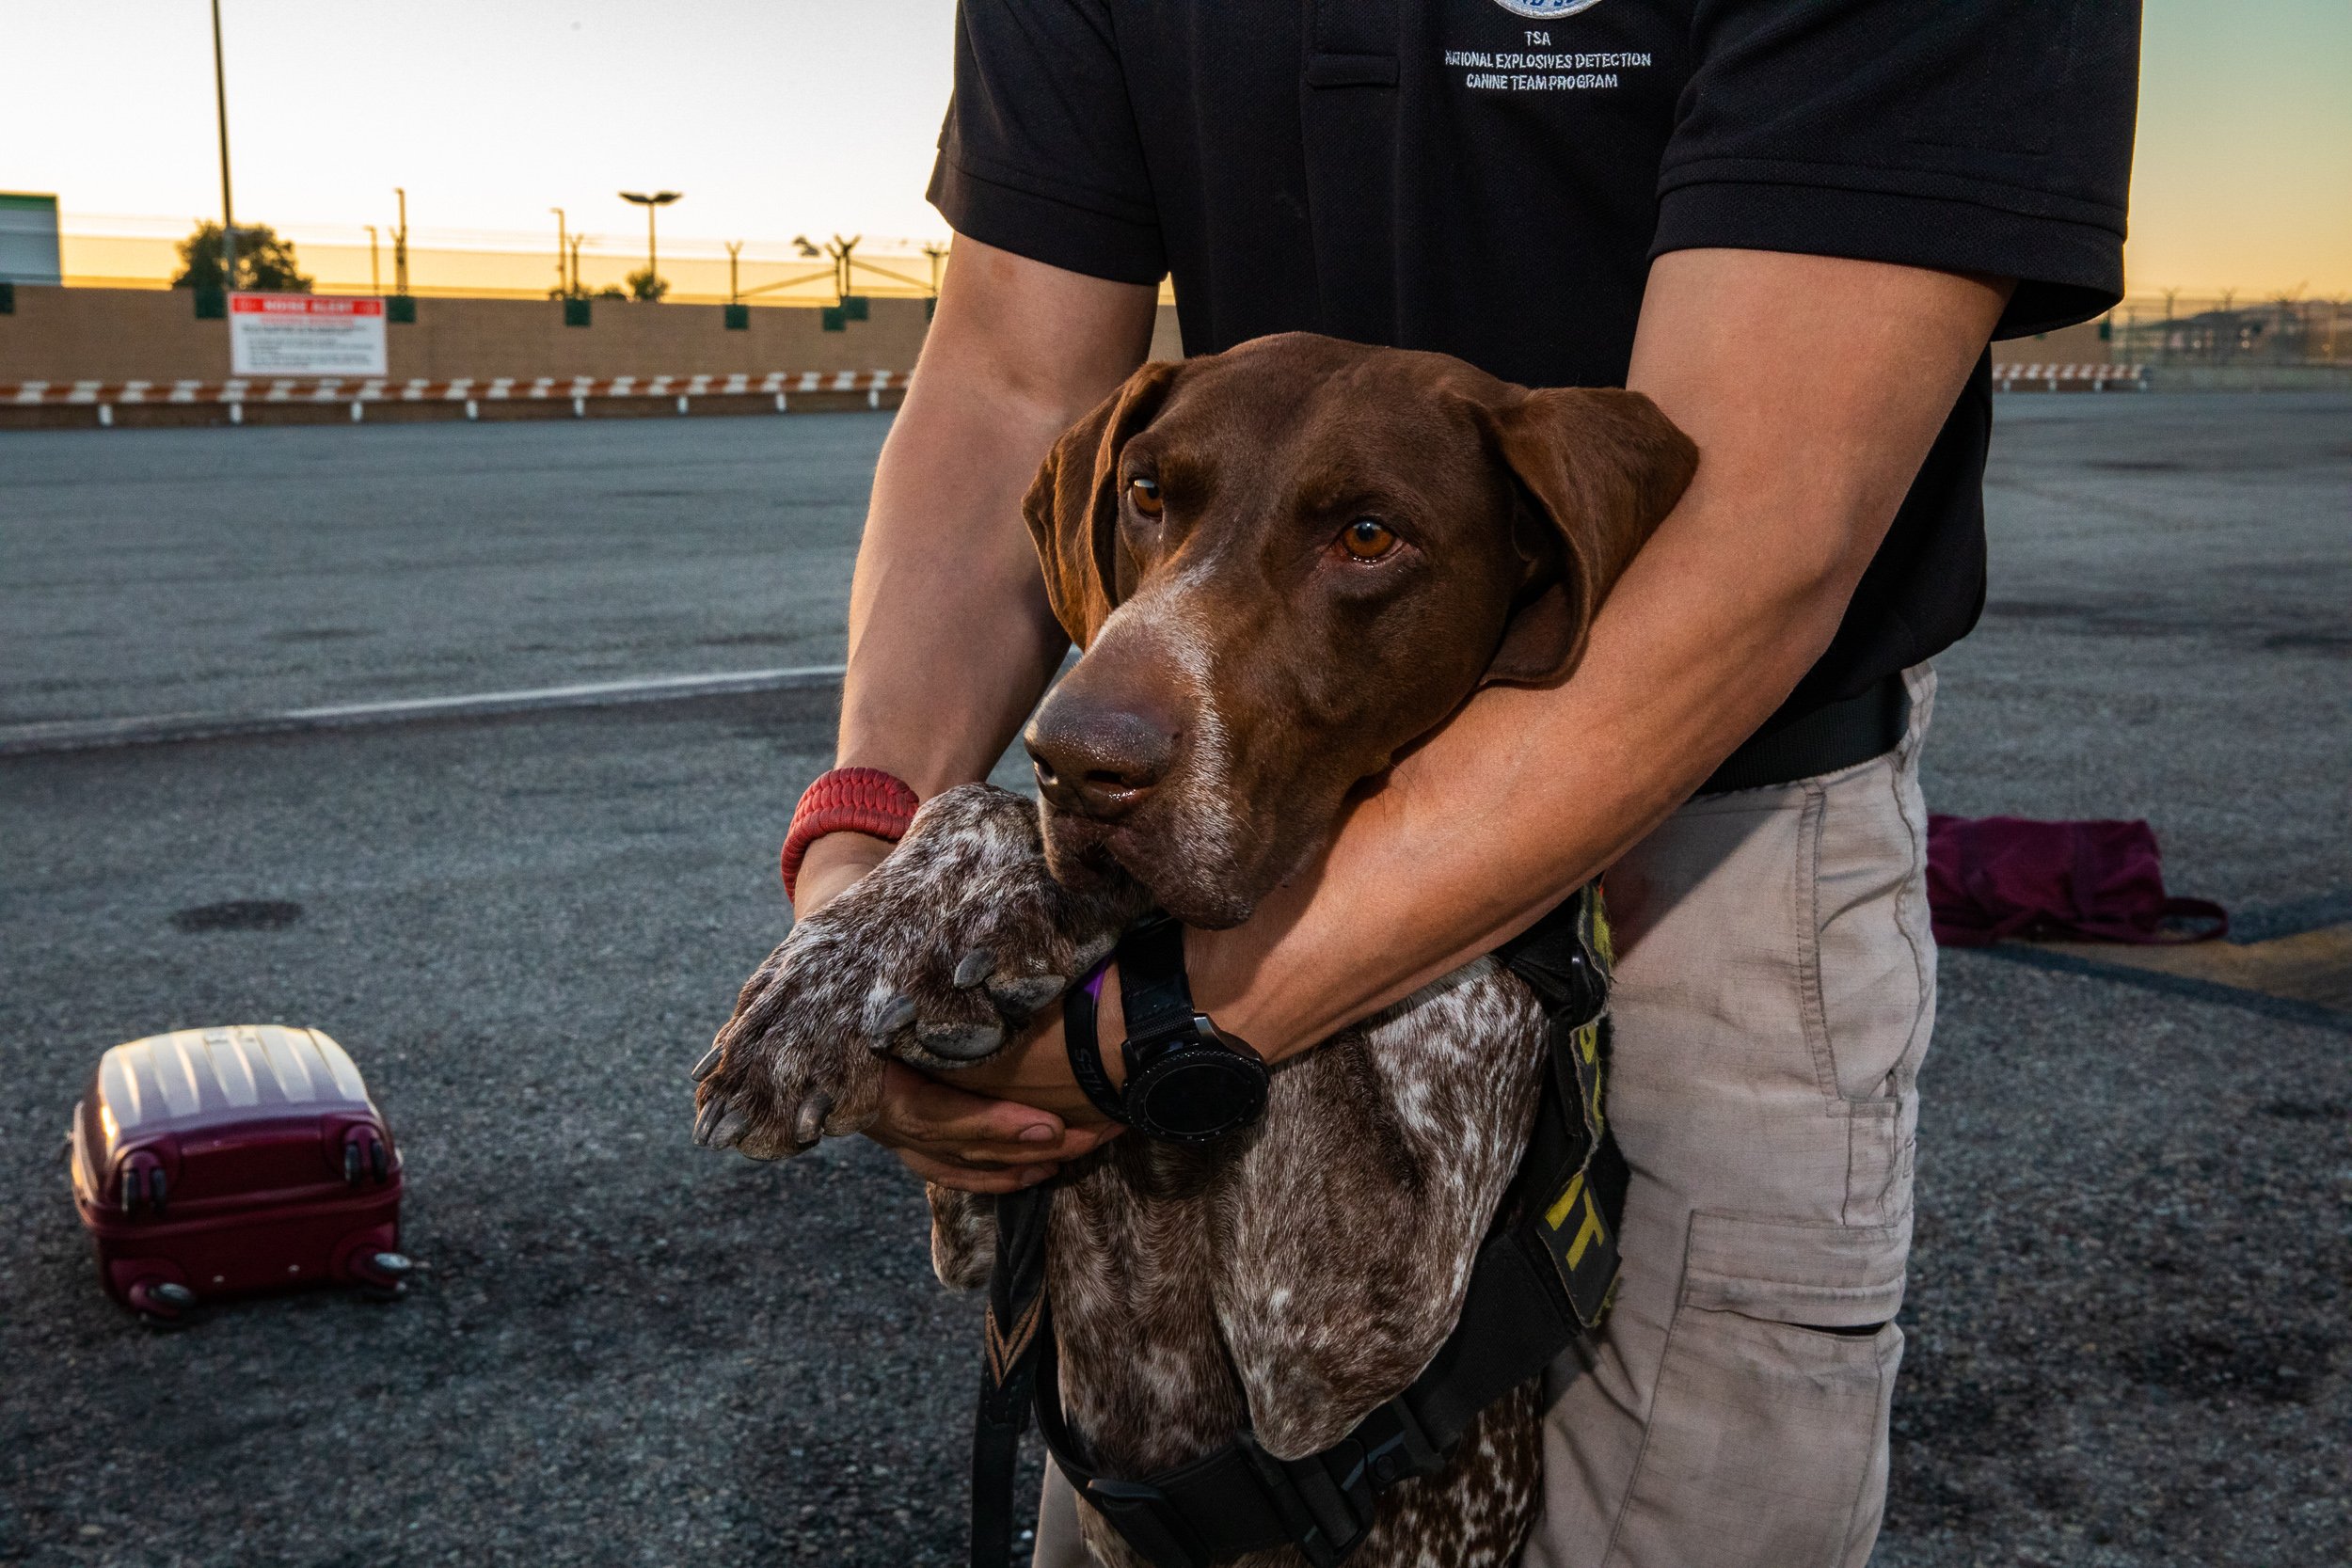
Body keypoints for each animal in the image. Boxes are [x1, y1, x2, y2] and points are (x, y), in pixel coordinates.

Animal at [687, 333, 1703, 1568]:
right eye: (1145, 493)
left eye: (1369, 536)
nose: (1077, 761)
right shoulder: (978, 1227)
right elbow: (967, 812)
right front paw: (851, 953)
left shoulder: (1347, 1319)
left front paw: (1013, 903)